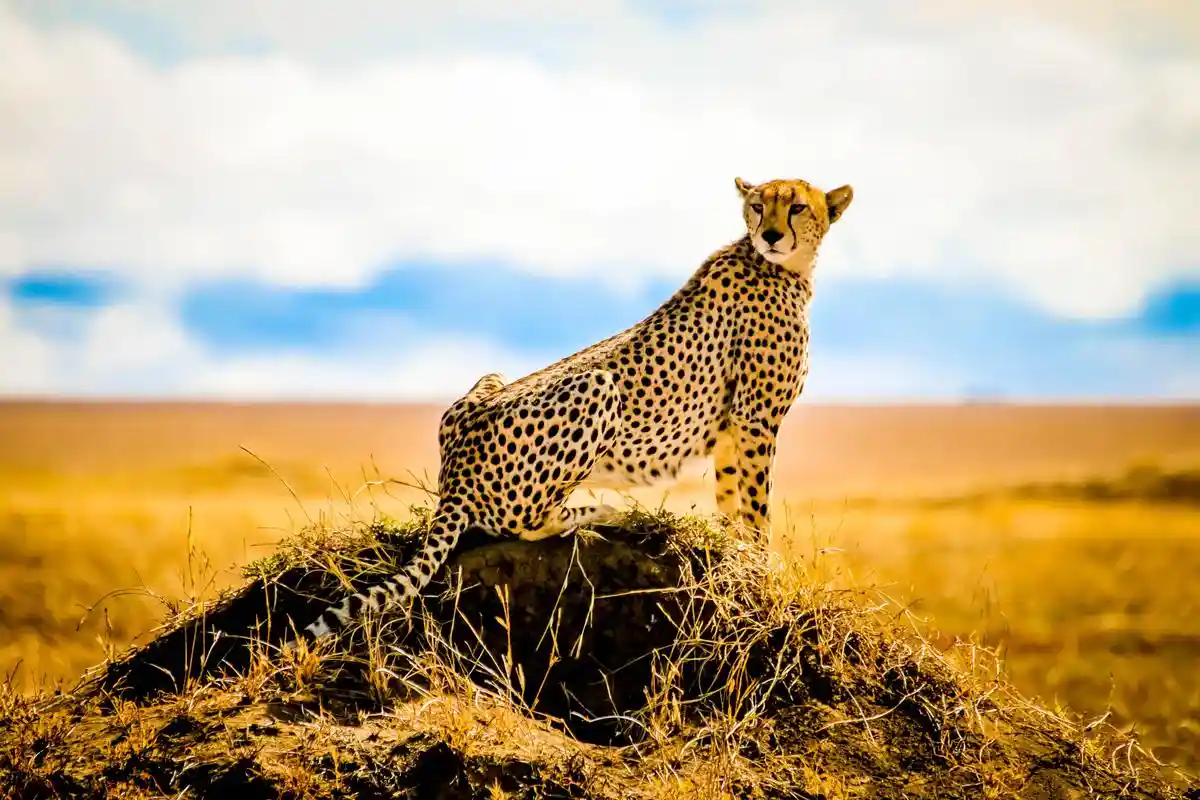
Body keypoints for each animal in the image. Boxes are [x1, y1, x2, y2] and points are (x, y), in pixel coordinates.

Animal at [304, 175, 859, 638]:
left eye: (798, 207)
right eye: (758, 205)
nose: (770, 234)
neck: (781, 268)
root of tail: (453, 476)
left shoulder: (731, 429)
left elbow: (732, 504)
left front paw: (738, 557)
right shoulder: (755, 420)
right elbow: (758, 507)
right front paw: (764, 569)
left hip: (489, 383)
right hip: (597, 385)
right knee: (525, 522)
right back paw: (603, 509)